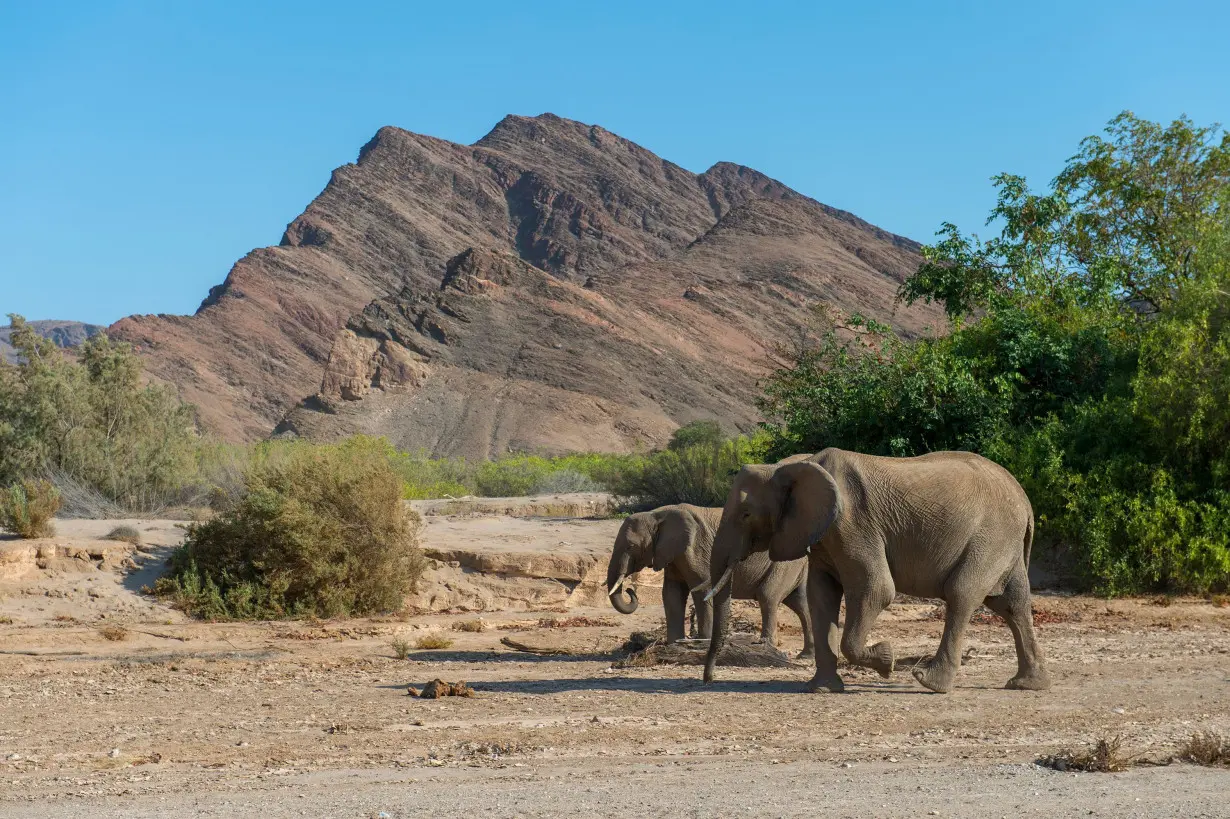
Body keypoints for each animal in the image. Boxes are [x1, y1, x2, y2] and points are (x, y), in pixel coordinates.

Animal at [607, 496, 816, 659]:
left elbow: (701, 590)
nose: (630, 590)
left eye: (631, 546)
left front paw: (702, 643)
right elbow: (671, 594)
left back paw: (768, 648)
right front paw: (674, 646)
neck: (656, 514)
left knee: (768, 598)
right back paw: (806, 655)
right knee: (800, 603)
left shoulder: (695, 548)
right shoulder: (672, 554)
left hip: (784, 562)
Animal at [708, 450, 1052, 693]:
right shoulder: (823, 536)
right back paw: (1026, 685)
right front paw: (821, 689)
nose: (708, 678)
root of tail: (1025, 501)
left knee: (962, 593)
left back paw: (928, 681)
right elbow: (822, 597)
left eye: (746, 514)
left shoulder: (853, 525)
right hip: (1003, 543)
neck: (791, 465)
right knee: (1011, 604)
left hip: (990, 536)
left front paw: (887, 660)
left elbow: (876, 590)